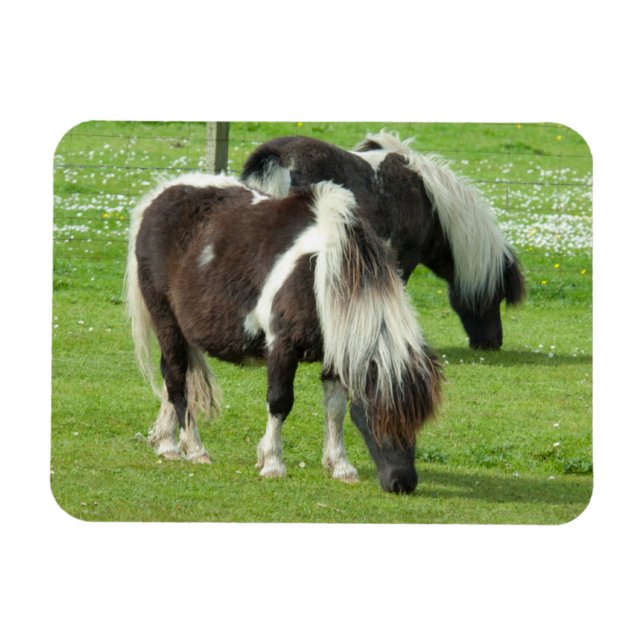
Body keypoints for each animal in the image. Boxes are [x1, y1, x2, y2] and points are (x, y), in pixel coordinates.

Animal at [125, 173, 443, 493]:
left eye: (419, 420)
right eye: (378, 414)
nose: (402, 482)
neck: (320, 273)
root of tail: (159, 197)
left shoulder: (336, 351)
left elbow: (336, 408)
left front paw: (340, 466)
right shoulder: (282, 346)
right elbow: (280, 402)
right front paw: (272, 463)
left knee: (176, 378)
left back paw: (166, 441)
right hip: (166, 319)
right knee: (175, 376)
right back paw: (193, 449)